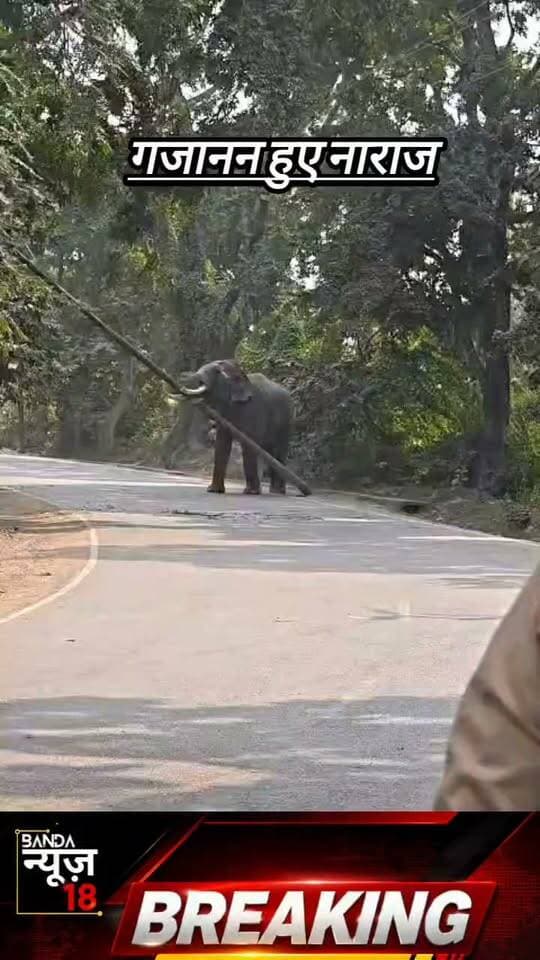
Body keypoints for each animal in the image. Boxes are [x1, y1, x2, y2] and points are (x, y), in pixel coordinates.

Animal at [180, 359, 292, 495]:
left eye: (216, 372)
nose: (181, 379)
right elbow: (222, 443)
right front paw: (213, 490)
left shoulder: (254, 410)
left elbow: (248, 444)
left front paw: (251, 492)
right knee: (269, 451)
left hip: (286, 421)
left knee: (279, 451)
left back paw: (276, 491)